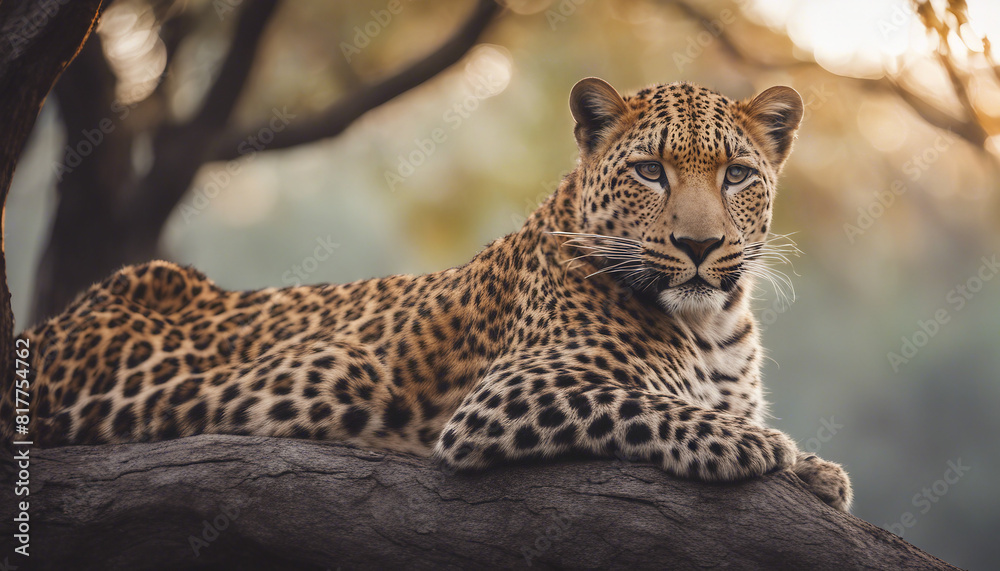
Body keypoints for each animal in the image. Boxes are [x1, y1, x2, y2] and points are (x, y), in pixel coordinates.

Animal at [5, 77, 852, 512]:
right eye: (650, 171)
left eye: (736, 176)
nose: (700, 247)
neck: (714, 325)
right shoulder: (512, 393)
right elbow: (645, 401)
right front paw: (750, 443)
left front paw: (818, 468)